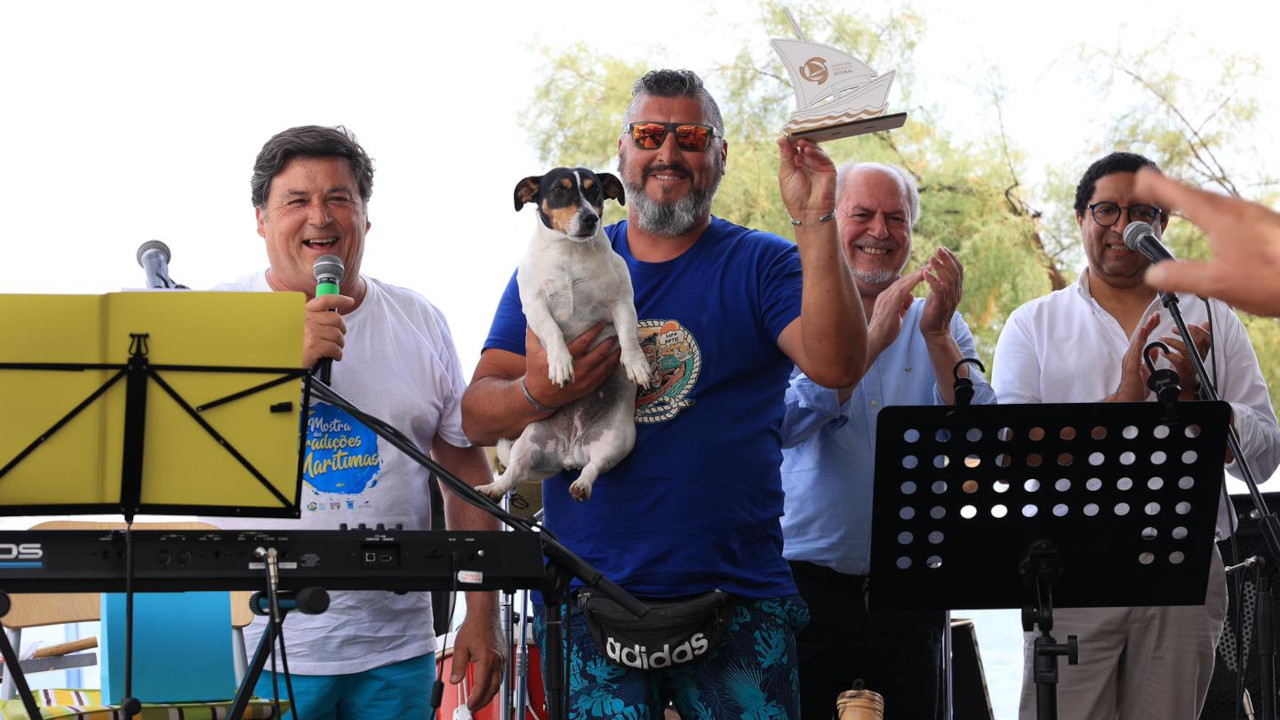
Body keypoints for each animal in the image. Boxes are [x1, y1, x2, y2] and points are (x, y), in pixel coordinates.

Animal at [478, 167, 650, 499]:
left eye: (595, 191)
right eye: (560, 190)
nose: (590, 219)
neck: (571, 253)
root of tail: (569, 452)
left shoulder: (621, 301)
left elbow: (627, 335)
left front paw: (637, 365)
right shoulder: (534, 305)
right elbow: (553, 332)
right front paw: (561, 364)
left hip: (618, 441)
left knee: (593, 467)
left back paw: (582, 484)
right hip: (528, 439)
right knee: (514, 474)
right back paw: (492, 488)